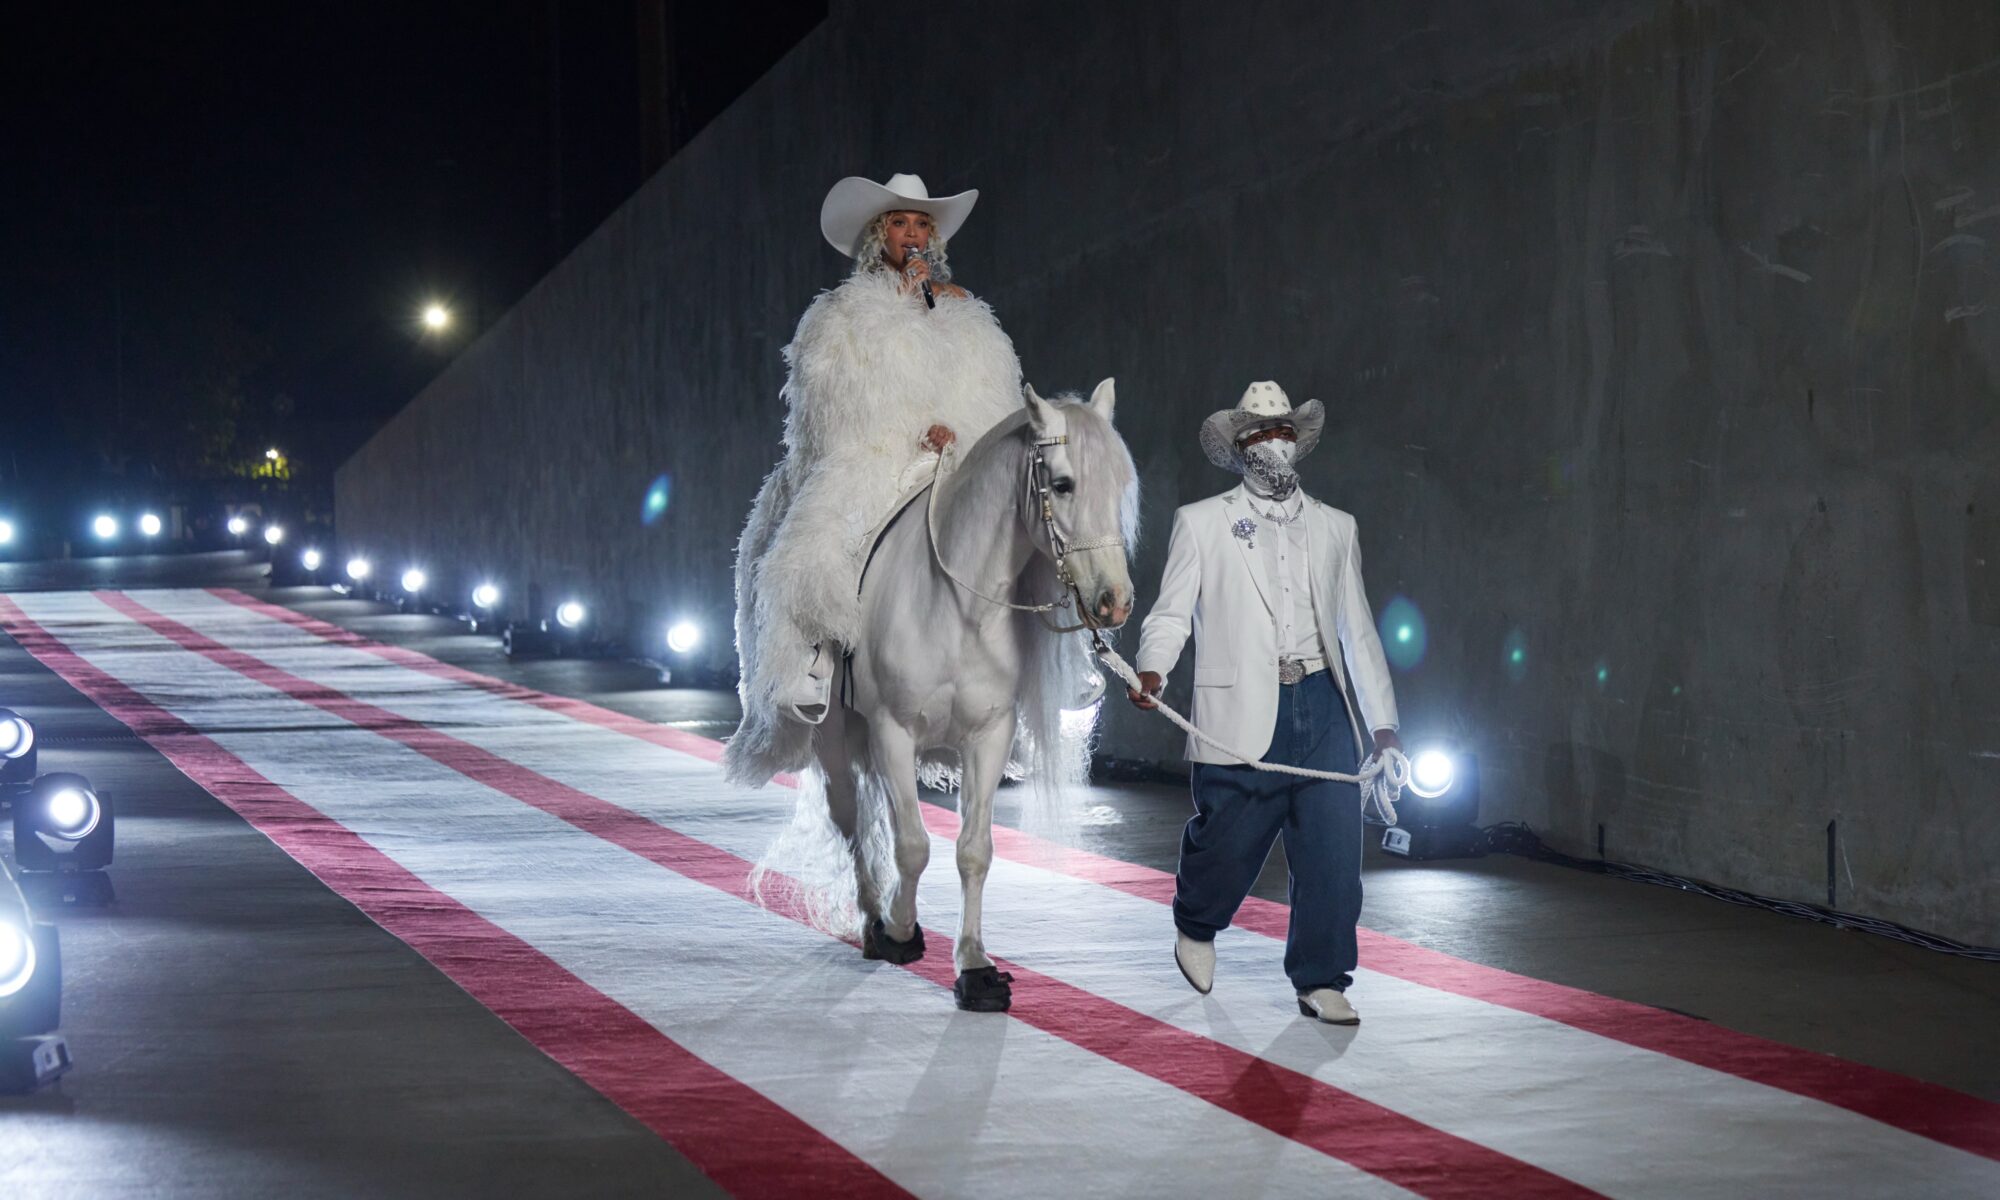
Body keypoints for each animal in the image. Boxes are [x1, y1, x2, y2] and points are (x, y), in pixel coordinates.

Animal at [804, 380, 1136, 1008]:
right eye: (1063, 484)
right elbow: (912, 844)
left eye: (1120, 485)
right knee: (852, 817)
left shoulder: (988, 735)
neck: (958, 607)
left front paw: (975, 967)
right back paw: (872, 919)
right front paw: (901, 930)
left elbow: (973, 850)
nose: (1115, 602)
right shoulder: (892, 731)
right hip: (836, 734)